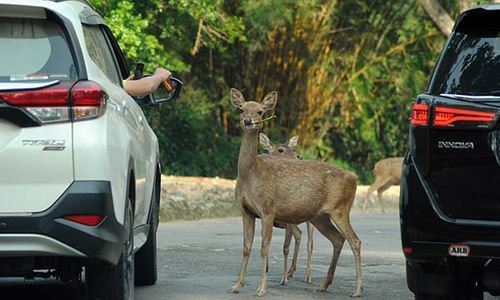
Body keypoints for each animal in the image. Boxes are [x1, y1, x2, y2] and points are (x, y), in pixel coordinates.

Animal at [260, 133, 314, 284]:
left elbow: (285, 247)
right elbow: (265, 241)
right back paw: (291, 271)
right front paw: (267, 268)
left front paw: (283, 278)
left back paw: (307, 275)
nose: (299, 156)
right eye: (280, 150)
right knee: (299, 234)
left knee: (310, 243)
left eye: (292, 148)